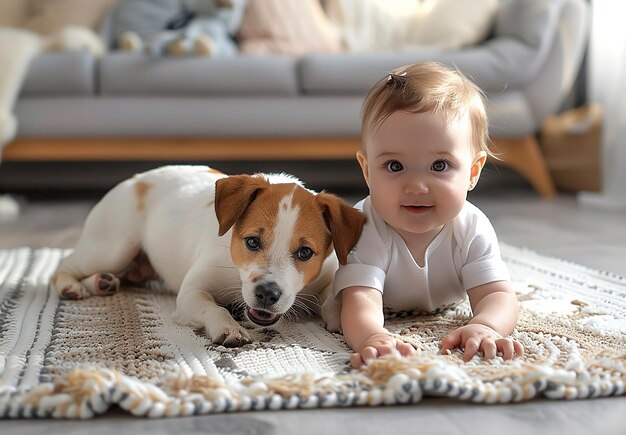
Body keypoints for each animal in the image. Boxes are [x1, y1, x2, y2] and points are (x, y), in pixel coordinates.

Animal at [53, 167, 368, 348]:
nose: (267, 294)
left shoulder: (327, 276)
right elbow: (213, 308)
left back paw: (102, 282)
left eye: (305, 252)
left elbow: (333, 298)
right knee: (64, 265)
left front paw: (340, 318)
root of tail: (134, 179)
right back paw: (72, 285)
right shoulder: (191, 293)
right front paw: (229, 328)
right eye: (252, 241)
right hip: (113, 248)